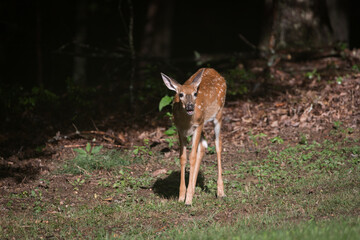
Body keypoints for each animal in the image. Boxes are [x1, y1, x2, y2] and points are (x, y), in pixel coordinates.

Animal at [161, 67, 226, 204]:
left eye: (195, 93)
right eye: (180, 94)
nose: (190, 106)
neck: (187, 123)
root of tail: (214, 70)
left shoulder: (198, 124)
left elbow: (192, 157)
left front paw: (188, 199)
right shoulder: (180, 129)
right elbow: (183, 158)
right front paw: (181, 196)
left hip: (218, 113)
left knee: (218, 145)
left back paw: (220, 192)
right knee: (203, 146)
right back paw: (194, 188)